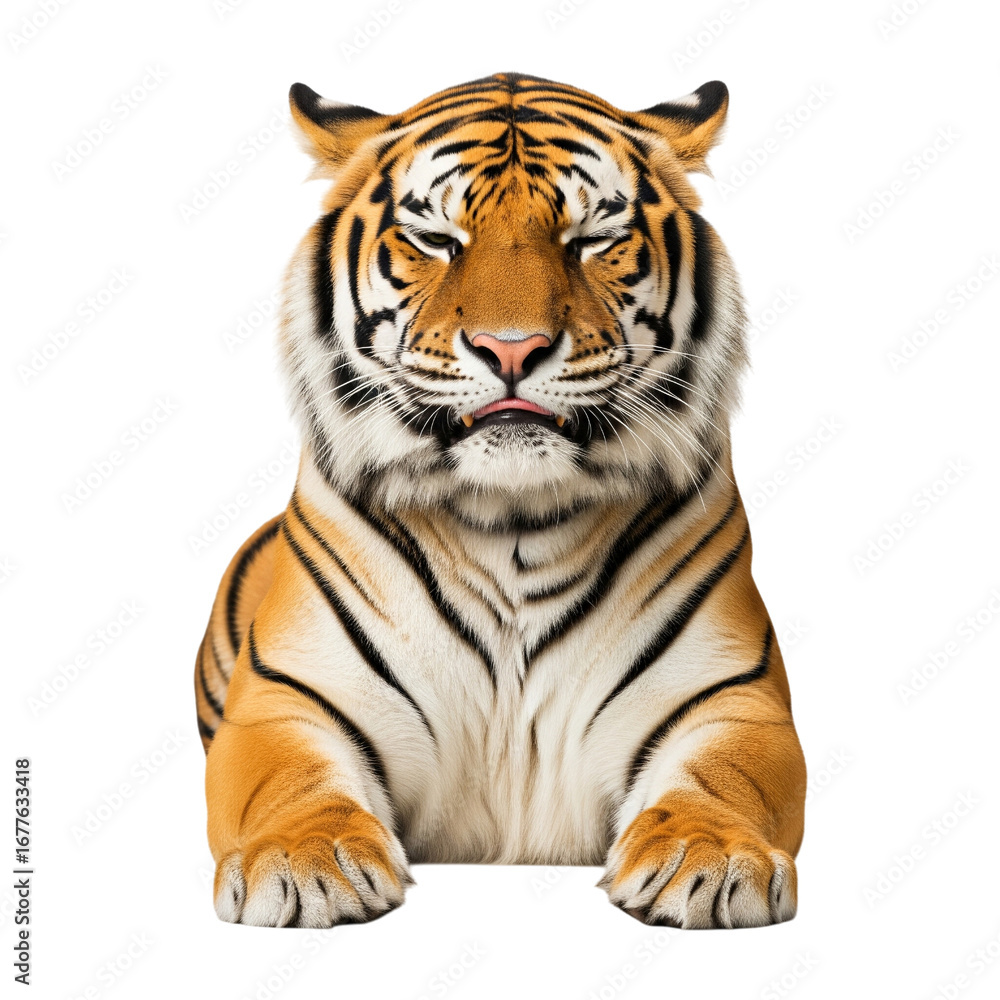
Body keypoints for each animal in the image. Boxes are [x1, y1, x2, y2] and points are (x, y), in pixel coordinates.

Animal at [195, 72, 807, 930]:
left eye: (591, 238)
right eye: (435, 239)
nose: (511, 348)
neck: (510, 519)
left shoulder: (729, 700)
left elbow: (725, 778)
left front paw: (709, 857)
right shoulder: (288, 700)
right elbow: (289, 781)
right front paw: (305, 860)